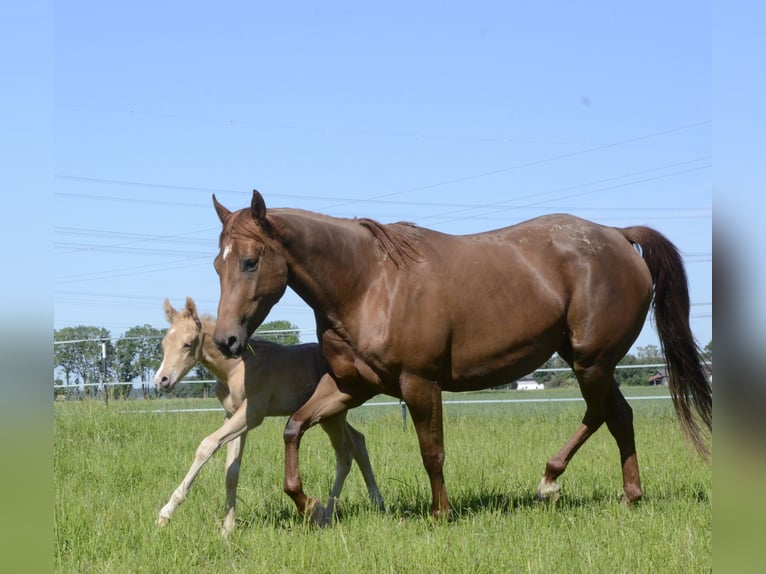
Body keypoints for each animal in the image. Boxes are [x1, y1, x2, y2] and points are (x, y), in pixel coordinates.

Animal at [154, 300, 384, 536]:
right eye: (164, 343)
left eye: (187, 344)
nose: (161, 380)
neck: (236, 368)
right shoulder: (232, 415)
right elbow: (231, 471)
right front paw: (228, 528)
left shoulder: (253, 413)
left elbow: (207, 445)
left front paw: (165, 513)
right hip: (331, 416)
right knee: (358, 441)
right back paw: (376, 503)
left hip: (333, 416)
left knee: (345, 455)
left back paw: (326, 513)